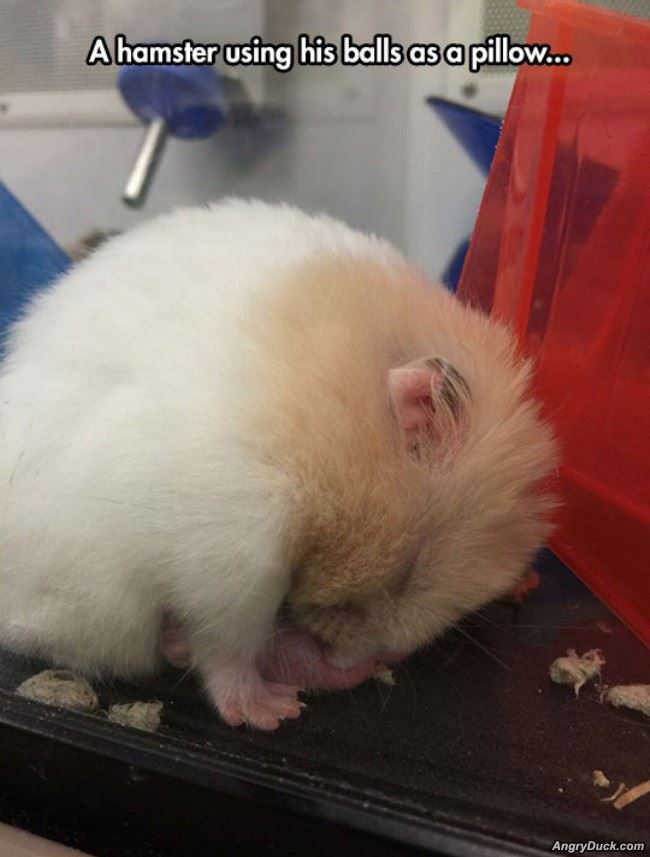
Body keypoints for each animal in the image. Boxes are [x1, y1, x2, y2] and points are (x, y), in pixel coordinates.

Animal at [0, 199, 557, 730]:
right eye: (408, 569)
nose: (358, 659)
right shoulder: (232, 551)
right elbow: (224, 649)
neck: (322, 427)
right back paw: (277, 704)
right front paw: (268, 712)